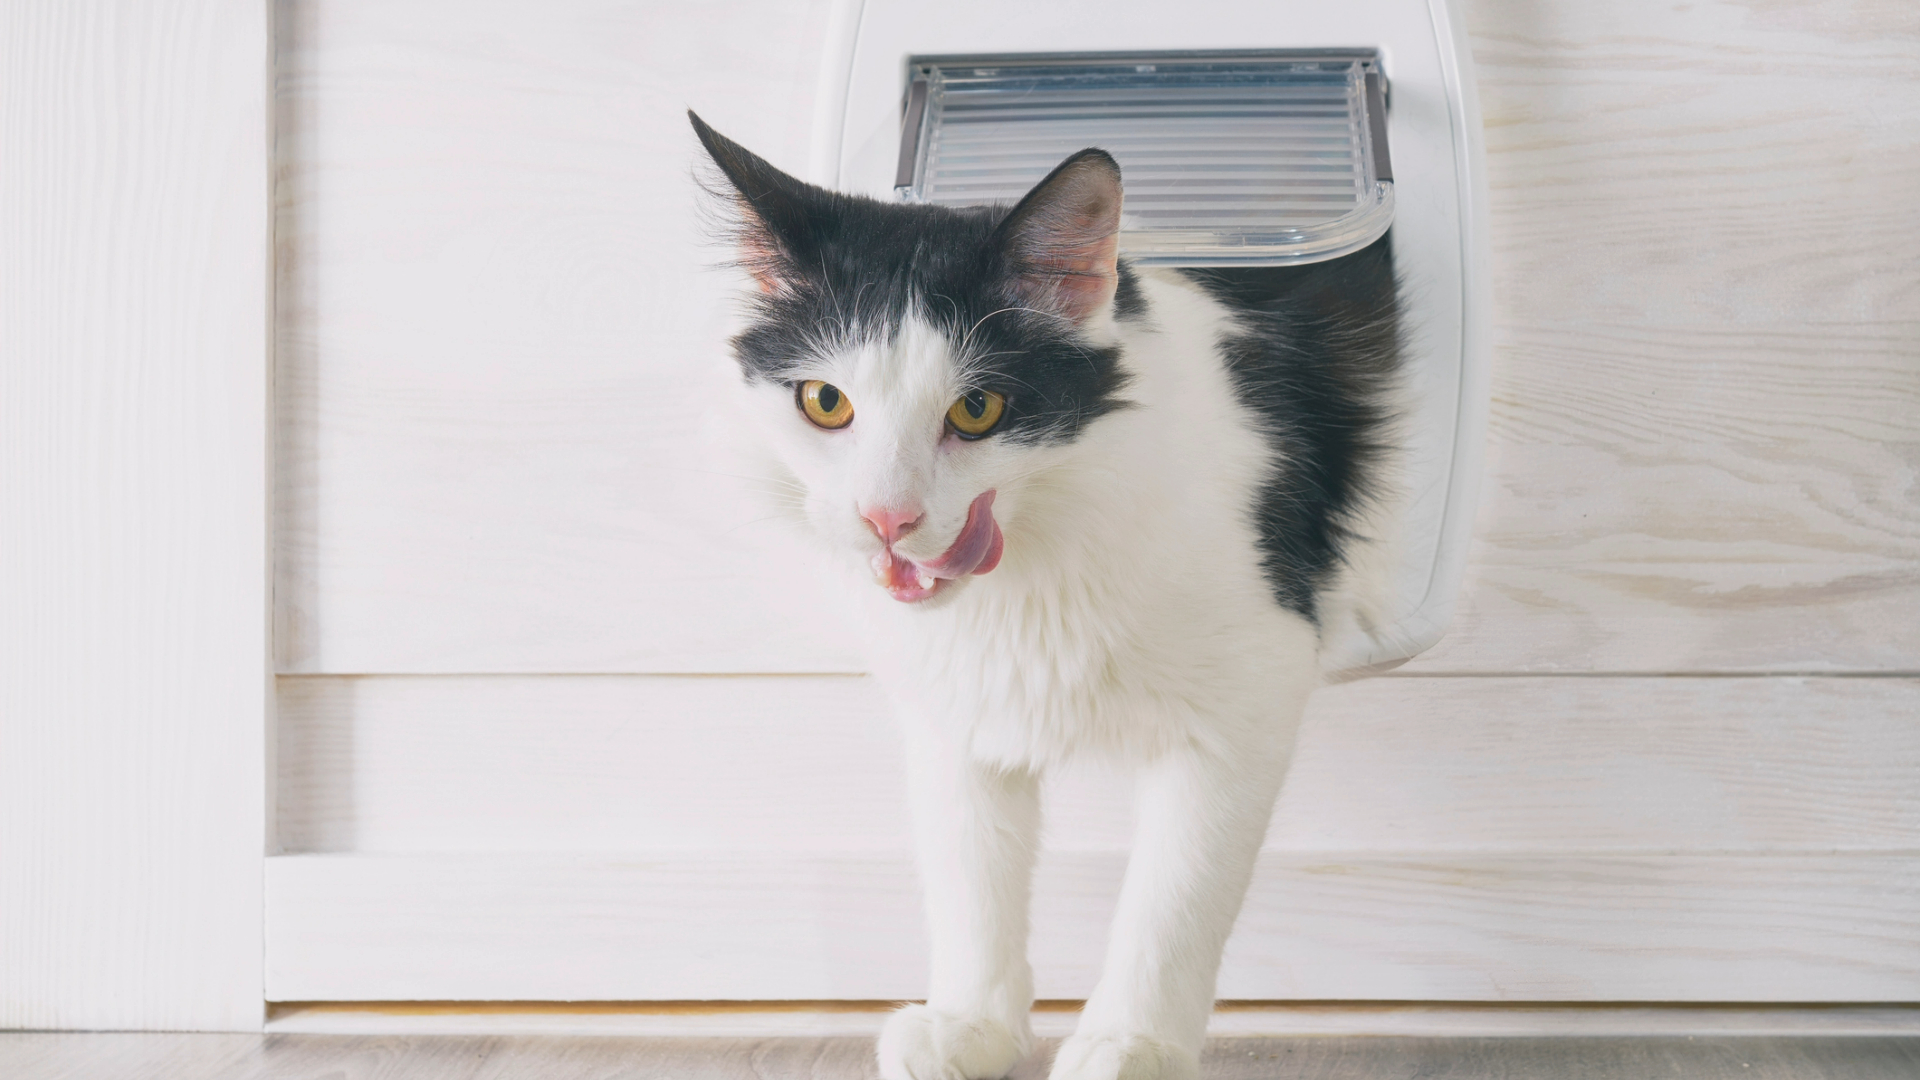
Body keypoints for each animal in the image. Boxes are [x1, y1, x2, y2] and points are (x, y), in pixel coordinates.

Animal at [687, 111, 1397, 1076]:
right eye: (826, 402)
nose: (886, 519)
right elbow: (968, 870)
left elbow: (1176, 895)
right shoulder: (952, 710)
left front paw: (1131, 1043)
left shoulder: (1249, 699)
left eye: (977, 410)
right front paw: (970, 1023)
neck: (1035, 567)